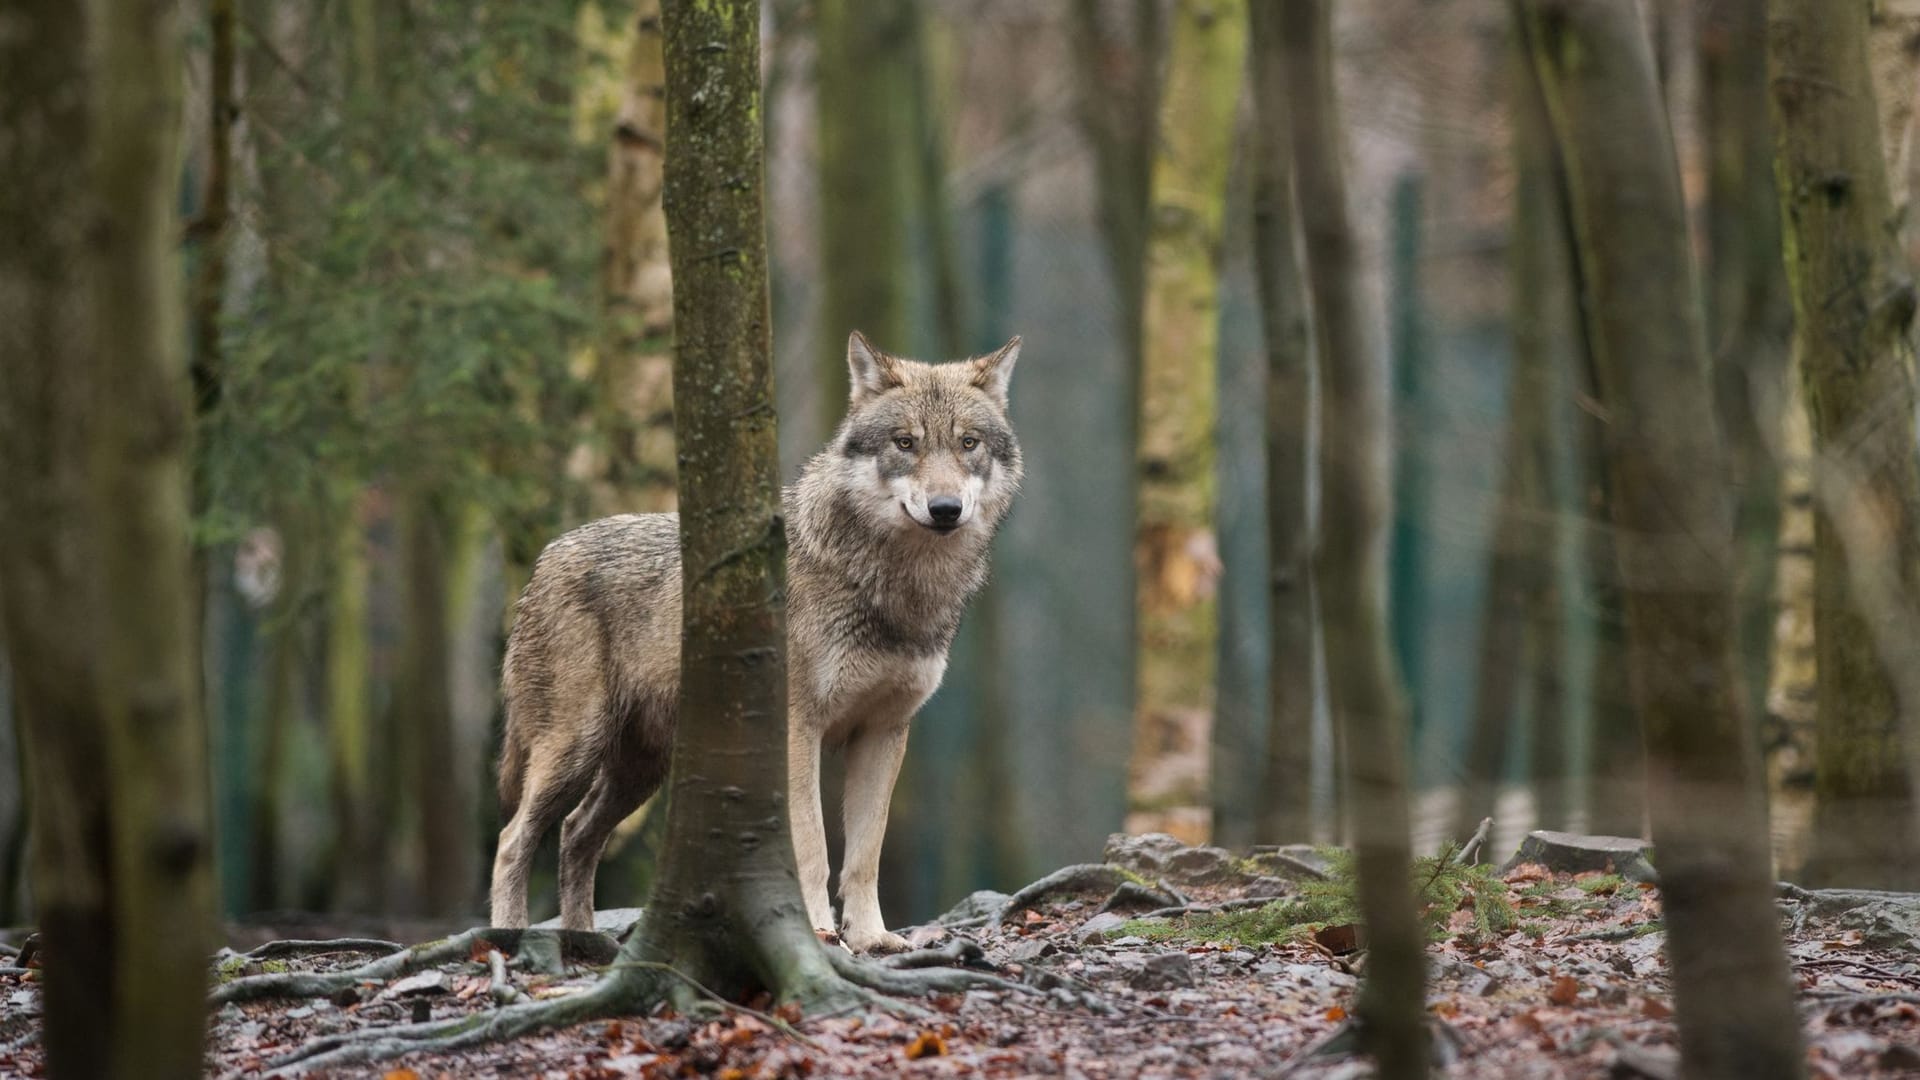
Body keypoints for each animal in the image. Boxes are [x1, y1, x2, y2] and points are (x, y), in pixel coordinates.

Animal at [491, 330, 1021, 949]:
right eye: (905, 443)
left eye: (968, 443)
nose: (945, 509)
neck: (893, 588)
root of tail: (545, 557)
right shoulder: (798, 729)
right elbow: (813, 848)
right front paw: (818, 933)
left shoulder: (884, 732)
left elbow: (865, 855)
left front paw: (871, 939)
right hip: (575, 749)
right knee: (512, 840)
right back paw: (508, 938)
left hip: (640, 770)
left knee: (576, 835)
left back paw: (584, 940)